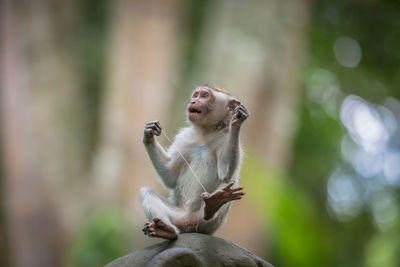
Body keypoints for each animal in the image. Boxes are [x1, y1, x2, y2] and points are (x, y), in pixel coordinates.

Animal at [139, 85, 248, 240]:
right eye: (196, 95)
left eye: (204, 96)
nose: (193, 101)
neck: (206, 132)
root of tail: (188, 221)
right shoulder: (184, 138)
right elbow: (170, 177)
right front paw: (149, 133)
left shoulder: (225, 137)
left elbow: (225, 174)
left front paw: (238, 120)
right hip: (177, 216)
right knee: (147, 192)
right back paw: (167, 230)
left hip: (207, 225)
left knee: (227, 178)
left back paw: (212, 206)